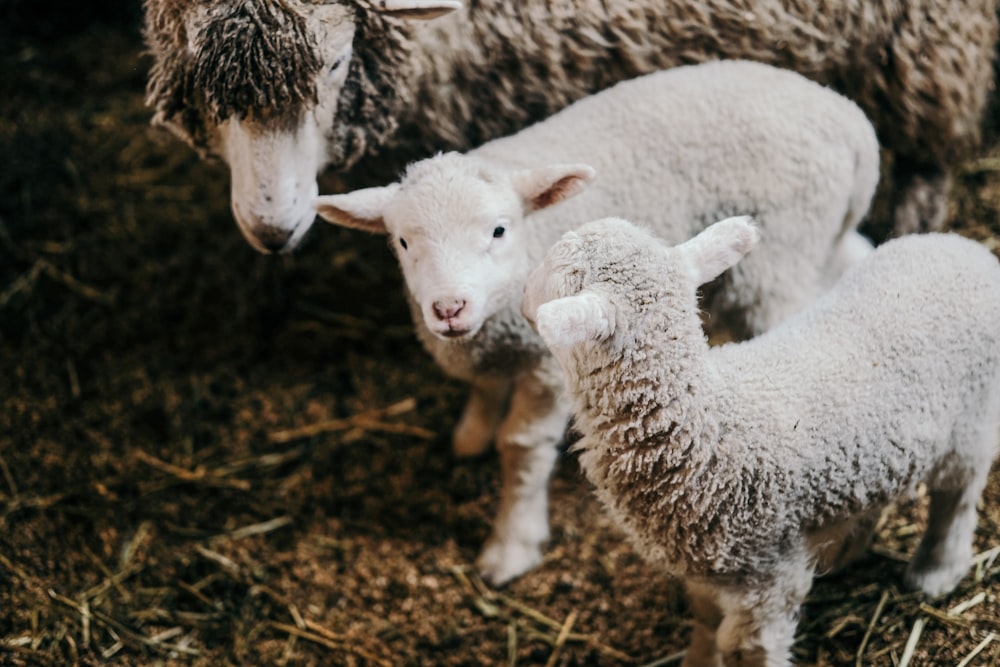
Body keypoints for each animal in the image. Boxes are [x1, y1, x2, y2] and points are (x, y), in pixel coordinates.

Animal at [312, 61, 876, 584]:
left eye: (498, 230)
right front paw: (471, 432)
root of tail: (849, 118)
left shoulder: (545, 367)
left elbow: (521, 448)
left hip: (783, 252)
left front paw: (512, 543)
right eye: (403, 241)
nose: (450, 308)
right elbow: (486, 389)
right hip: (820, 236)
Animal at [524, 217, 1000, 664]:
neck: (706, 426)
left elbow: (747, 649)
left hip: (972, 424)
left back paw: (937, 571)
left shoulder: (769, 576)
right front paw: (698, 661)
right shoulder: (706, 567)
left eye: (551, 272)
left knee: (956, 498)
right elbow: (705, 621)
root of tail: (968, 249)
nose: (522, 298)